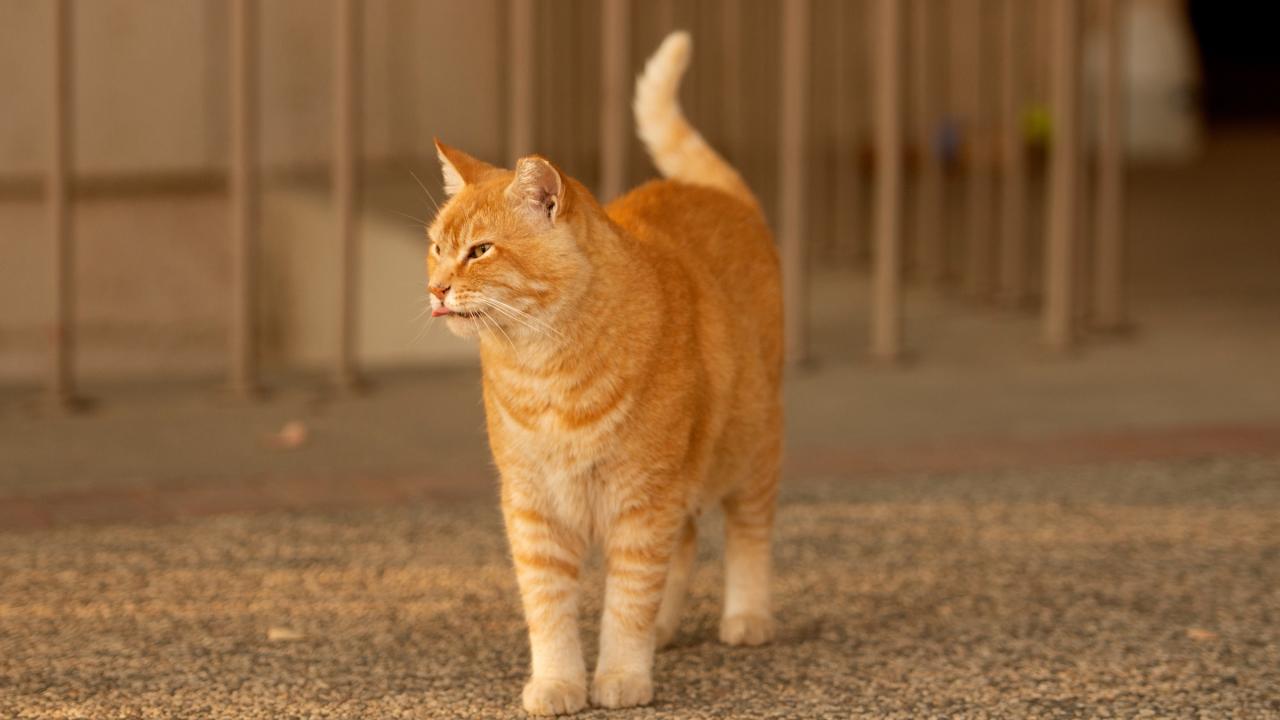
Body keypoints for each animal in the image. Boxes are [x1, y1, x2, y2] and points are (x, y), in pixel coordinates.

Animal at [427, 32, 778, 712]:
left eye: (480, 250)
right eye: (435, 246)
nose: (435, 289)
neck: (545, 372)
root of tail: (713, 192)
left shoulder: (643, 500)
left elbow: (627, 602)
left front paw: (621, 675)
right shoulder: (534, 509)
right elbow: (550, 611)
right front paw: (560, 683)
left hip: (747, 449)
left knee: (747, 532)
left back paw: (747, 617)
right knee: (686, 542)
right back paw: (668, 629)